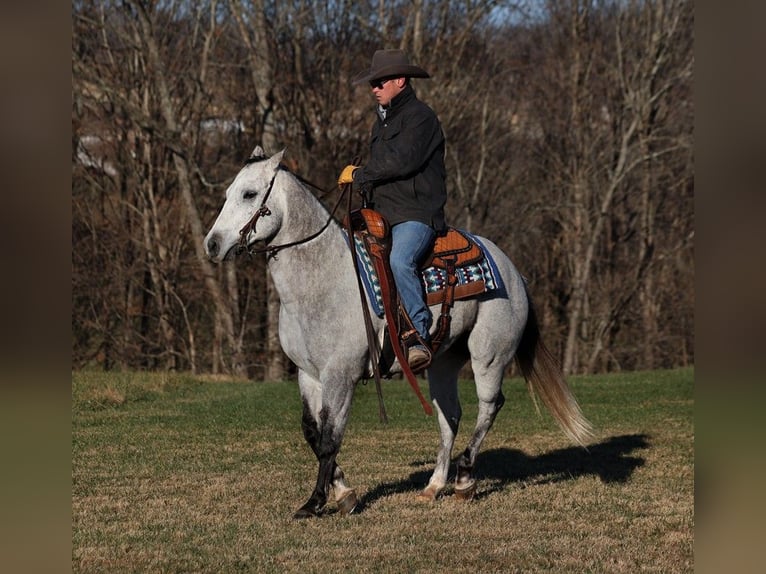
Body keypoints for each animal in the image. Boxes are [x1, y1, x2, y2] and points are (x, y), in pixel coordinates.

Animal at [204, 146, 592, 520]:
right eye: (227, 193)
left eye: (250, 193)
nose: (212, 244)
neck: (325, 279)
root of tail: (513, 270)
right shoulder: (308, 374)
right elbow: (313, 434)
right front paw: (344, 493)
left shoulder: (340, 376)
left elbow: (330, 438)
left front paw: (316, 502)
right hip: (443, 363)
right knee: (450, 417)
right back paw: (434, 486)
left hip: (489, 357)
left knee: (489, 406)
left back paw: (465, 480)